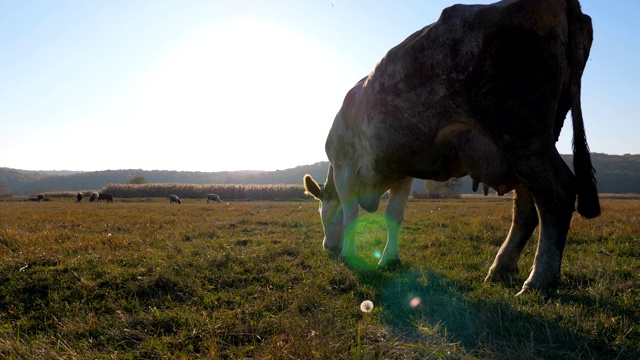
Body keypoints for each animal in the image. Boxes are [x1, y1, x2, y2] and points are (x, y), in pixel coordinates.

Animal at [304, 0, 600, 294]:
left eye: (320, 211)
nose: (327, 247)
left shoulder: (344, 165)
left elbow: (351, 214)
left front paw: (349, 255)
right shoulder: (403, 172)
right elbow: (394, 216)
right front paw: (389, 259)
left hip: (521, 133)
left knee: (556, 193)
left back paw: (539, 280)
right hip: (530, 143)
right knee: (528, 205)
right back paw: (501, 268)